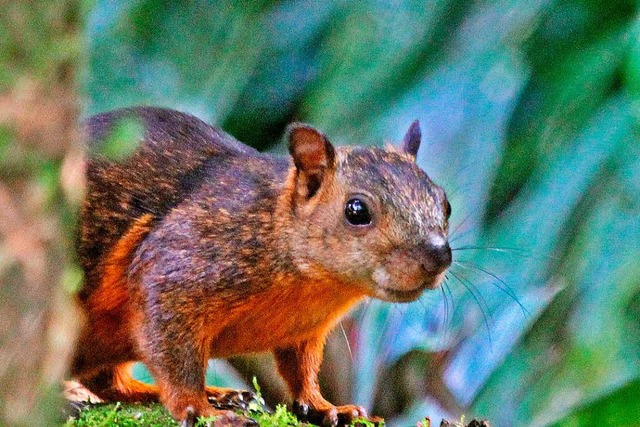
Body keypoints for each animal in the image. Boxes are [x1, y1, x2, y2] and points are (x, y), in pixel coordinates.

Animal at [70, 107, 452, 427]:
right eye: (356, 210)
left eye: (445, 204)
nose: (439, 256)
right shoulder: (177, 266)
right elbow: (174, 358)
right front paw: (201, 411)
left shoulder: (305, 331)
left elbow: (302, 371)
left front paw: (327, 407)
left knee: (105, 381)